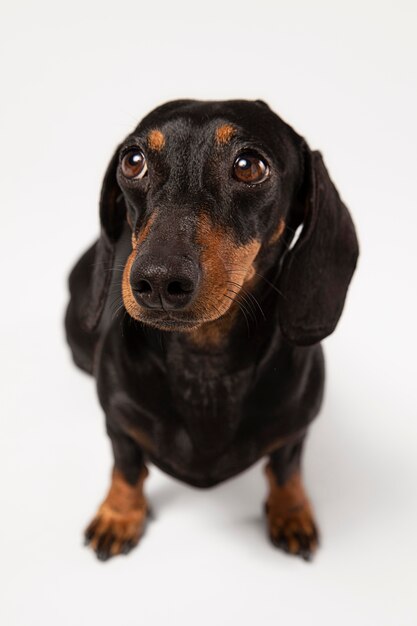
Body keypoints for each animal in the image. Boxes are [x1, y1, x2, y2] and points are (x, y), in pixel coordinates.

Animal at [64, 98, 358, 560]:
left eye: (249, 166)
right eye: (133, 161)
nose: (158, 281)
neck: (205, 365)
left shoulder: (296, 429)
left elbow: (286, 469)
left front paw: (291, 512)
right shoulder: (117, 422)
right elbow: (126, 468)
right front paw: (119, 515)